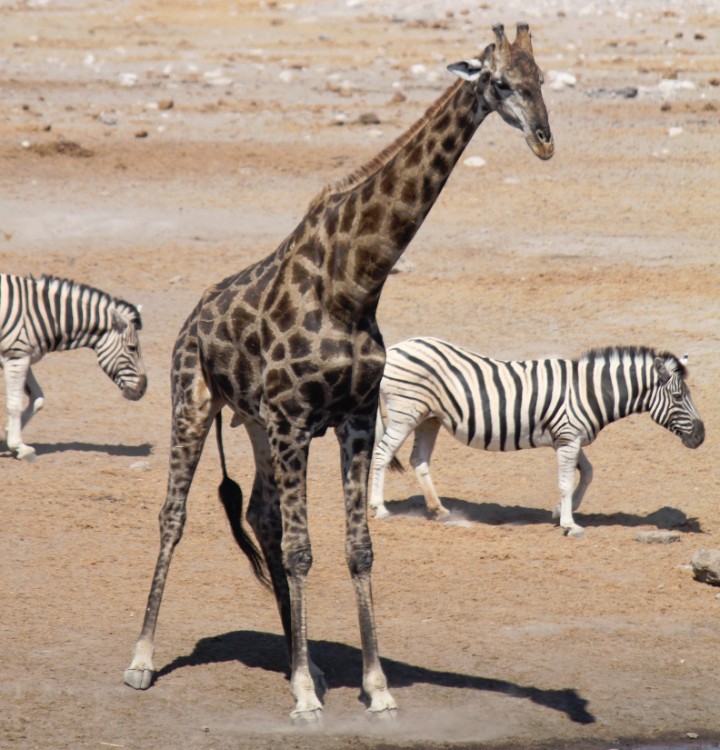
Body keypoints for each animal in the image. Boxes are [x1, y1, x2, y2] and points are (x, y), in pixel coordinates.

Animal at [0, 272, 148, 458]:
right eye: (132, 348)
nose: (143, 390)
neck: (45, 314)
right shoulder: (16, 357)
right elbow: (15, 404)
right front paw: (18, 445)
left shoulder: (24, 357)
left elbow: (38, 398)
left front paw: (7, 433)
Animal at [122, 23, 552, 724]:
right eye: (500, 81)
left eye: (541, 79)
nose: (544, 139)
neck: (353, 283)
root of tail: (193, 317)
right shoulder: (298, 420)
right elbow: (304, 550)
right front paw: (304, 695)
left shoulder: (351, 418)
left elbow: (358, 548)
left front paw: (373, 686)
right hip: (195, 402)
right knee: (175, 515)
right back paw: (142, 660)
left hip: (256, 424)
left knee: (263, 517)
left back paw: (309, 663)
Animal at [368, 338, 704, 536]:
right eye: (678, 397)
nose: (701, 436)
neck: (588, 391)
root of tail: (397, 346)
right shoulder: (567, 438)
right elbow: (567, 481)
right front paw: (570, 524)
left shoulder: (568, 436)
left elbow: (587, 473)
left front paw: (560, 511)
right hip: (405, 412)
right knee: (382, 454)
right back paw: (379, 509)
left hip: (428, 418)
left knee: (418, 459)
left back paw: (438, 509)